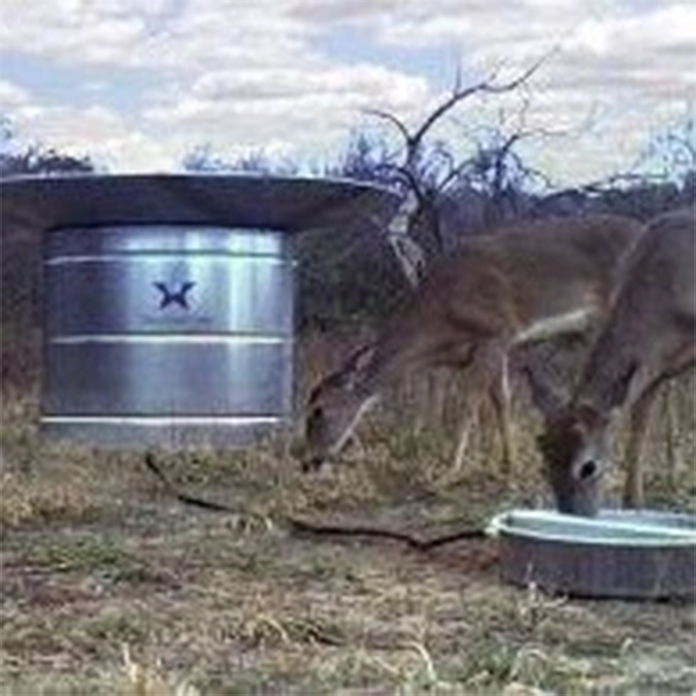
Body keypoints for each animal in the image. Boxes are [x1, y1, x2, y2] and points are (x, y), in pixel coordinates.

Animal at [295, 212, 646, 477]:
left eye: (318, 410)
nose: (308, 462)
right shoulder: (498, 345)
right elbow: (501, 400)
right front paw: (508, 465)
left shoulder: (494, 332)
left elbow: (469, 401)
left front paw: (452, 466)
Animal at [525, 207, 695, 516]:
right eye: (544, 464)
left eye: (588, 467)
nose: (575, 515)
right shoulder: (654, 366)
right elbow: (639, 423)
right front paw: (633, 504)